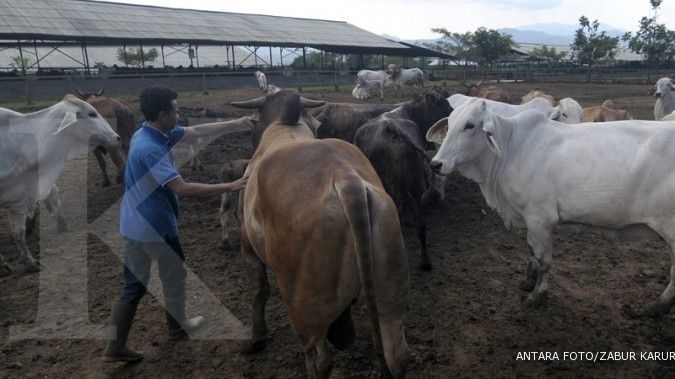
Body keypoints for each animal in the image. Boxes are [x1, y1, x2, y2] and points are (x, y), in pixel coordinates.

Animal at [232, 90, 410, 378]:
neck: (284, 128)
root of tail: (346, 179)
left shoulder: (248, 247)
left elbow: (259, 292)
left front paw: (256, 339)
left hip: (306, 306)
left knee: (319, 358)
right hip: (390, 291)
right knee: (398, 355)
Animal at [352, 91, 452, 270]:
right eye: (444, 106)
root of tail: (391, 127)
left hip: (391, 187)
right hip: (417, 186)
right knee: (421, 225)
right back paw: (425, 262)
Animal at [428, 98, 675, 318]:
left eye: (469, 125)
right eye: (449, 124)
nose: (436, 164)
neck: (511, 149)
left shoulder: (540, 218)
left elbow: (543, 259)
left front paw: (537, 295)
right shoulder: (531, 220)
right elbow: (531, 251)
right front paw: (528, 281)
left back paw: (654, 307)